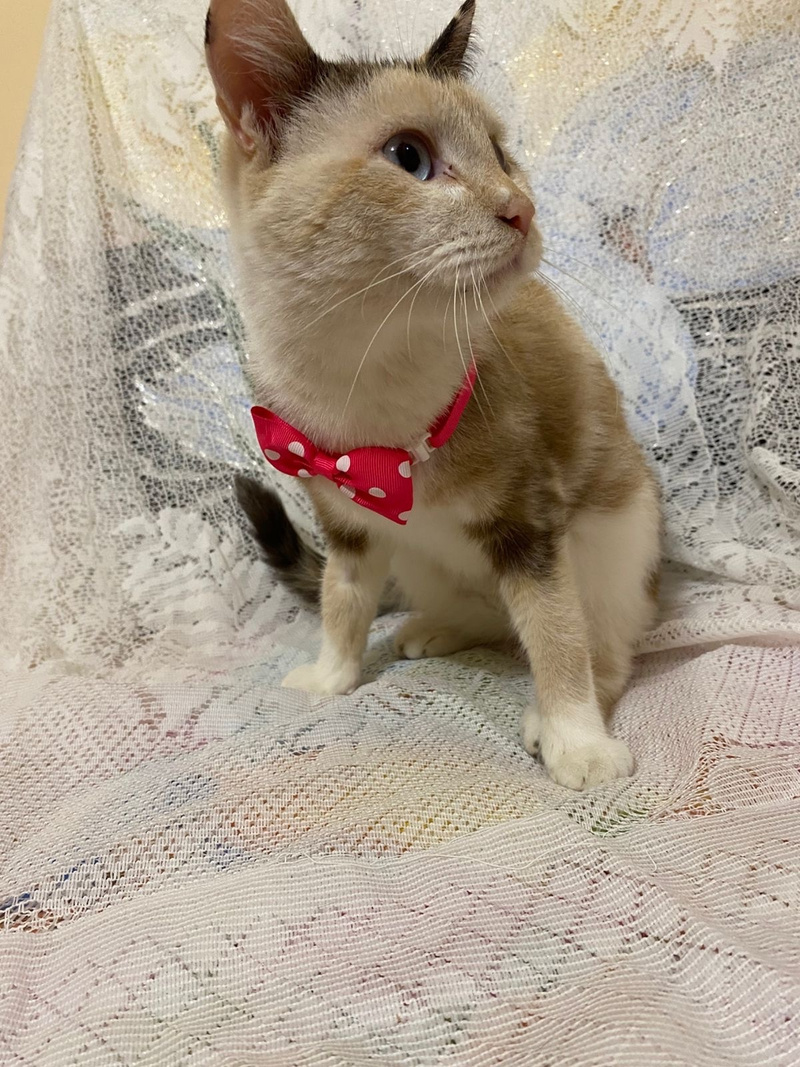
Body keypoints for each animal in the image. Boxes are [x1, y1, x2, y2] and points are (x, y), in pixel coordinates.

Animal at [205, 0, 661, 789]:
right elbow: (342, 599)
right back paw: (433, 629)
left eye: (501, 155)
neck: (365, 366)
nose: (521, 208)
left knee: (600, 637)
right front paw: (331, 676)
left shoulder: (528, 522)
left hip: (610, 534)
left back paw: (556, 713)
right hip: (420, 559)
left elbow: (556, 633)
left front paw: (577, 739)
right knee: (488, 612)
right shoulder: (346, 520)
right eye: (408, 157)